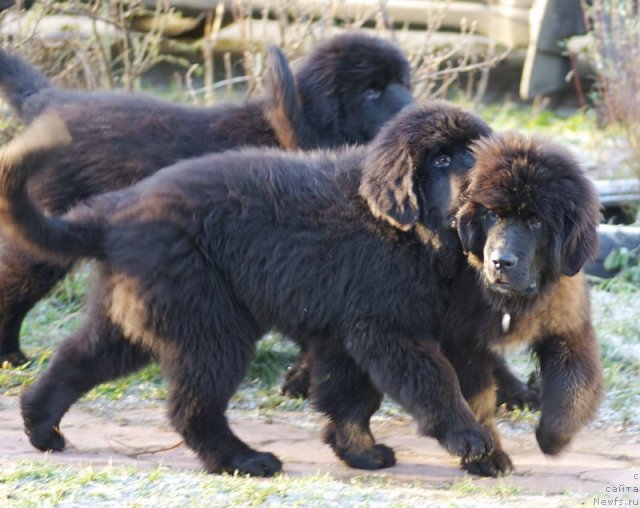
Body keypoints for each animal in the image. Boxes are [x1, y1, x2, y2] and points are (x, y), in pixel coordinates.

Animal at [0, 31, 412, 366]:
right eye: (371, 91)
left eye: (402, 83)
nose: (412, 108)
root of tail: (48, 100)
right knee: (14, 281)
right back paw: (11, 354)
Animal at [0, 102, 496, 476]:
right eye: (442, 160)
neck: (399, 226)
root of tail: (115, 211)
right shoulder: (388, 327)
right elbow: (434, 381)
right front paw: (471, 440)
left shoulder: (347, 333)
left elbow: (350, 398)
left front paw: (359, 451)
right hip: (211, 322)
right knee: (192, 406)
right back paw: (242, 460)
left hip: (138, 313)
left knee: (77, 359)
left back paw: (40, 425)